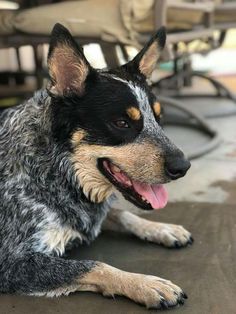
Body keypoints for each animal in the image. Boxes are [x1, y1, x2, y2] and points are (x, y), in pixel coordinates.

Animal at [0, 23, 192, 310]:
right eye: (122, 123)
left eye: (159, 118)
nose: (183, 166)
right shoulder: (12, 264)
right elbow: (96, 265)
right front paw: (146, 284)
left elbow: (123, 215)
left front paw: (162, 228)